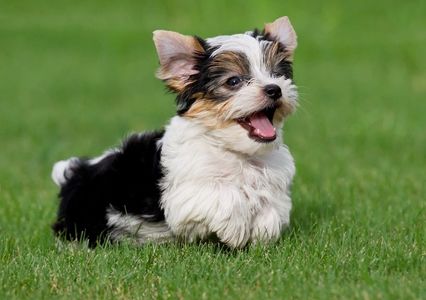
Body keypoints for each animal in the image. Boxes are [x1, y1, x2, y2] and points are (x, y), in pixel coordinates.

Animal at [51, 15, 298, 248]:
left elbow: (271, 206)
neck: (238, 152)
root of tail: (75, 172)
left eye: (277, 74)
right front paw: (235, 230)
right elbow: (225, 195)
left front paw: (262, 231)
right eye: (234, 81)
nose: (274, 89)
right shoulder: (186, 194)